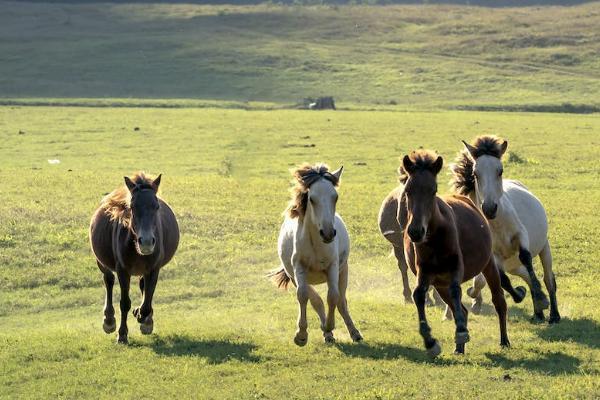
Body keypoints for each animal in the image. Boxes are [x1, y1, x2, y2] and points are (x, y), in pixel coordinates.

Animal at [88, 173, 179, 344]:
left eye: (156, 207)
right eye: (132, 207)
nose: (147, 242)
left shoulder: (154, 268)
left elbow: (147, 303)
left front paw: (143, 318)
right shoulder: (123, 270)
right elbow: (125, 303)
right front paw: (122, 334)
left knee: (143, 286)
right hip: (102, 262)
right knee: (108, 280)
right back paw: (109, 321)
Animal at [270, 164, 364, 346]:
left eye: (335, 197)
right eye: (312, 199)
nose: (327, 233)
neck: (316, 245)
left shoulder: (333, 267)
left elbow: (333, 297)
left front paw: (329, 325)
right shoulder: (298, 269)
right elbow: (304, 296)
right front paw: (301, 335)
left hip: (343, 271)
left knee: (341, 302)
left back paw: (354, 333)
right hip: (295, 276)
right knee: (316, 300)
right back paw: (327, 334)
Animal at [400, 150, 508, 356]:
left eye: (433, 190)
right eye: (408, 190)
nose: (416, 231)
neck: (434, 238)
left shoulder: (456, 267)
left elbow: (456, 290)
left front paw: (461, 332)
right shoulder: (425, 272)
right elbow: (418, 295)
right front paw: (431, 342)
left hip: (488, 265)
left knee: (499, 301)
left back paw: (504, 340)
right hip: (439, 282)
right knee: (461, 308)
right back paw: (459, 347)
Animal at [452, 136, 560, 324]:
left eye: (500, 171)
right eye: (475, 174)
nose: (489, 208)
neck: (497, 224)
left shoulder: (521, 236)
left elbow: (526, 258)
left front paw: (541, 300)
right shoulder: (494, 256)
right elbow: (503, 280)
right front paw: (521, 295)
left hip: (544, 247)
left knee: (548, 279)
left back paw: (553, 314)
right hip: (512, 264)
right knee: (524, 276)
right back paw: (538, 313)